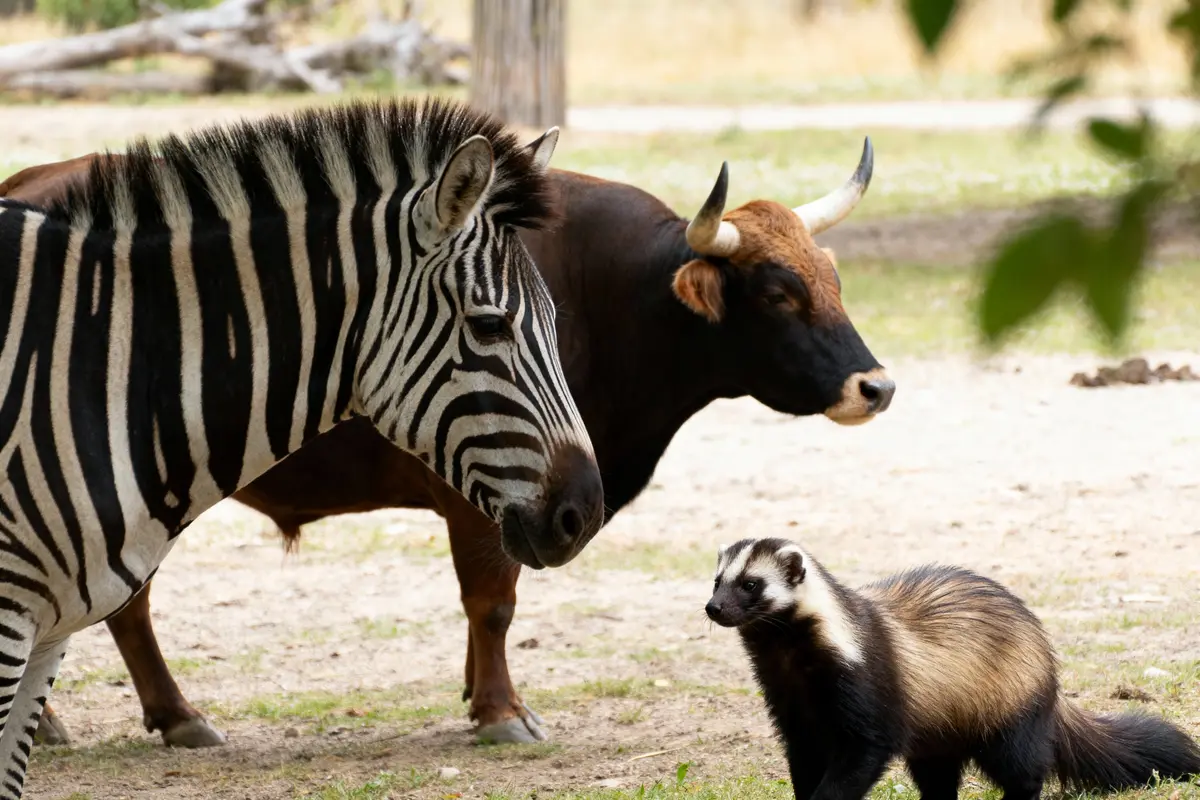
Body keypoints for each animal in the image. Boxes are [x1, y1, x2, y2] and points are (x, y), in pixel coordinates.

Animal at [0, 96, 604, 798]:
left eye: (557, 323)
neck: (104, 368)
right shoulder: (10, 621)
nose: (585, 514)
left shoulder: (51, 630)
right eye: (488, 327)